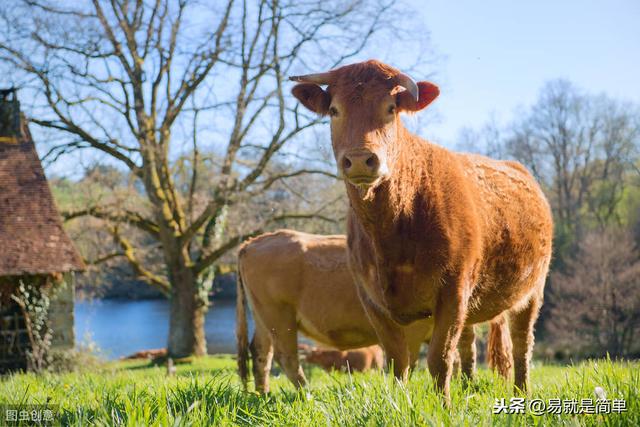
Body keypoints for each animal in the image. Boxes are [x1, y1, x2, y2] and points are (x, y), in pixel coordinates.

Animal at [235, 231, 510, 394]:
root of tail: (256, 241)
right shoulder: (414, 329)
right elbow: (409, 361)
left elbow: (460, 355)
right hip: (279, 316)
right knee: (286, 358)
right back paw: (307, 395)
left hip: (263, 317)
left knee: (261, 353)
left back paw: (263, 394)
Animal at [292, 60, 552, 402]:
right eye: (334, 110)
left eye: (391, 109)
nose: (360, 159)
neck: (392, 231)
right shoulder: (371, 298)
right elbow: (398, 360)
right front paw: (398, 403)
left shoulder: (453, 290)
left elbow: (439, 358)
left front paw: (444, 406)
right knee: (468, 346)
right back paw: (469, 386)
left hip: (532, 290)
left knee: (522, 344)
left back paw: (521, 392)